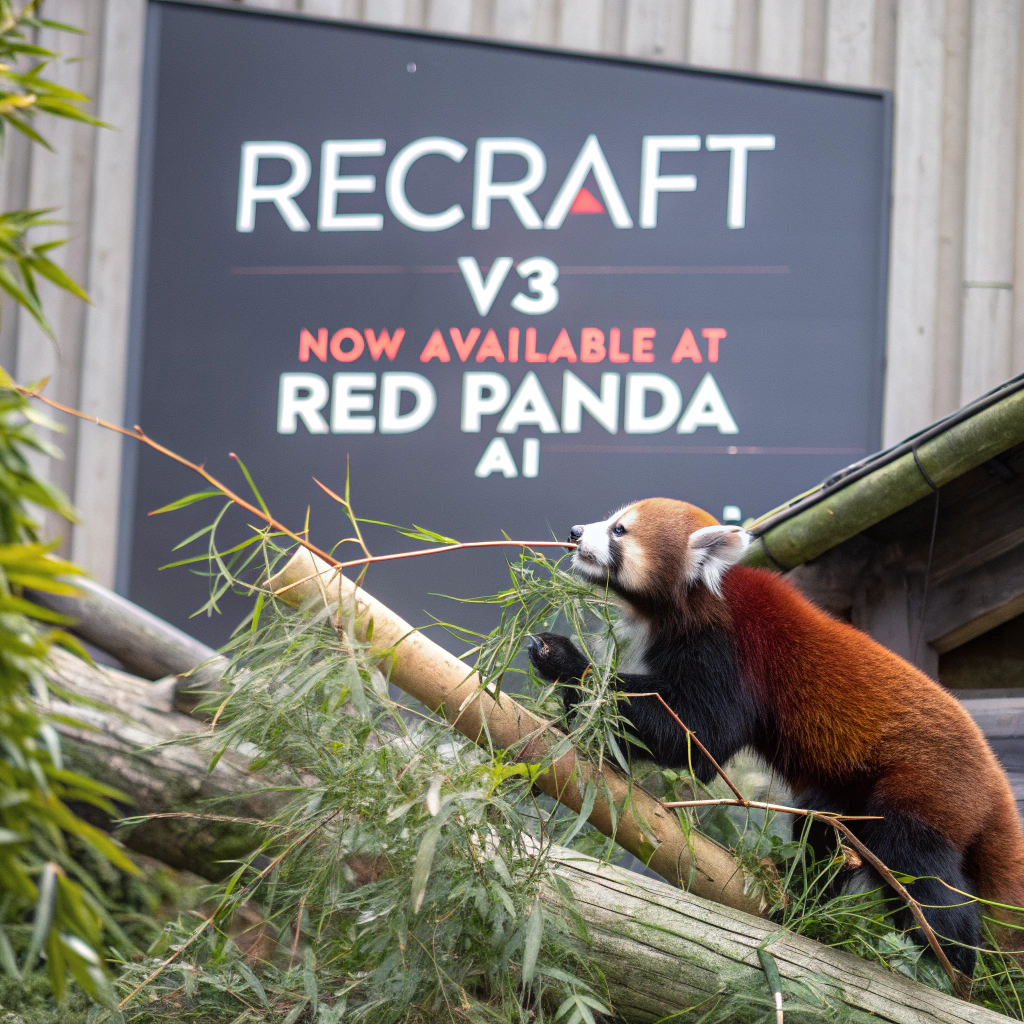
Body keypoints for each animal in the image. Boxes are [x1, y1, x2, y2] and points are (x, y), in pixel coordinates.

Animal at [527, 497, 1024, 976]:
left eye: (619, 530)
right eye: (611, 521)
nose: (575, 532)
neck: (697, 600)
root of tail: (994, 777)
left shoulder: (731, 649)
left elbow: (698, 731)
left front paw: (565, 661)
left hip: (927, 784)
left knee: (918, 865)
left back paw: (946, 958)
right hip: (851, 791)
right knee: (822, 827)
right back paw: (809, 901)